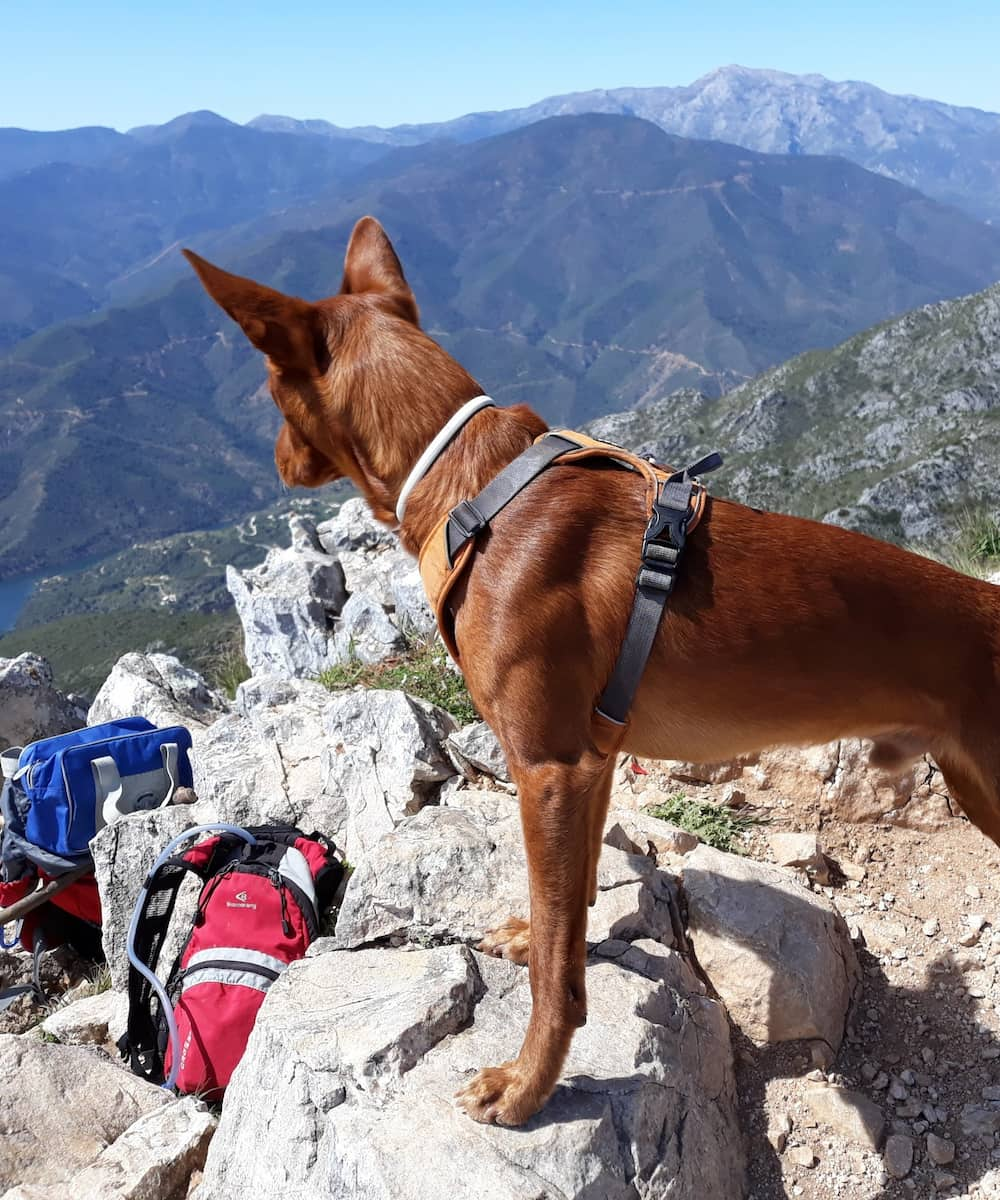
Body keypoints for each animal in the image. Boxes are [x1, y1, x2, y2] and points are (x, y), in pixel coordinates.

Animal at [184, 213, 998, 1123]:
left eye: (268, 389)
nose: (276, 461)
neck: (471, 485)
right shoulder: (590, 760)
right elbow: (565, 911)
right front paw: (534, 937)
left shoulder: (545, 767)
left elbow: (555, 969)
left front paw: (527, 1084)